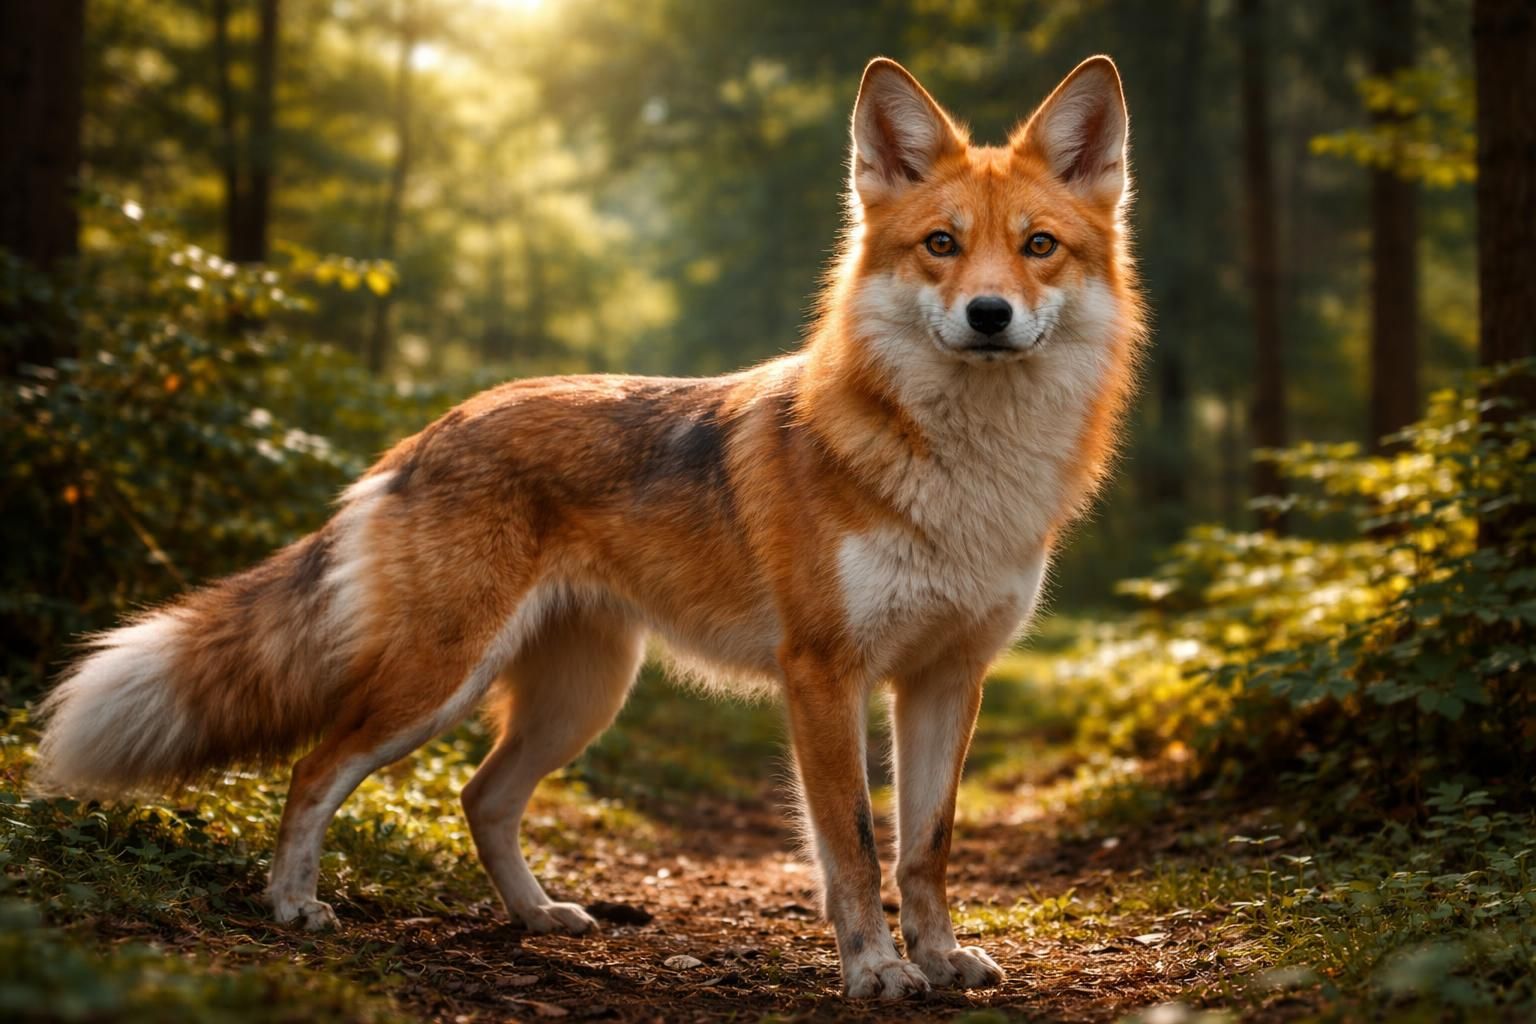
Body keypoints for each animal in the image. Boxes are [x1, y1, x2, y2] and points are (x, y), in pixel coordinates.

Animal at [33, 56, 1144, 999]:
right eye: (941, 245)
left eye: (1039, 247)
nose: (991, 315)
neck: (963, 481)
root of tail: (428, 429)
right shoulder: (825, 675)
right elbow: (854, 846)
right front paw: (875, 971)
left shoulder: (947, 676)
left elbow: (927, 847)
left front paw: (941, 959)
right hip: (439, 684)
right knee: (314, 768)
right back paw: (294, 907)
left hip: (579, 697)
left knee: (479, 796)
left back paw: (538, 918)